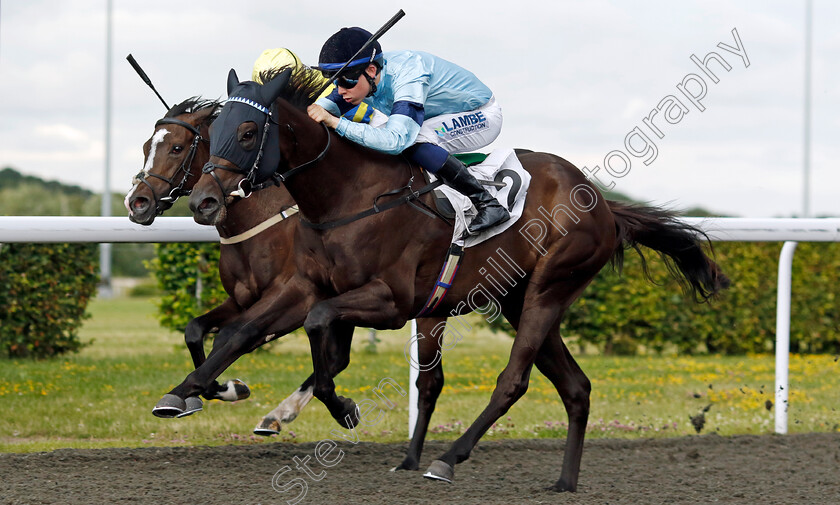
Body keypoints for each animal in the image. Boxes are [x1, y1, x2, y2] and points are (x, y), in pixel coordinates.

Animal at [126, 95, 446, 468]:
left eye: (176, 148)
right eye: (146, 146)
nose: (137, 202)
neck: (261, 219)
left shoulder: (294, 297)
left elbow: (238, 336)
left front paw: (213, 389)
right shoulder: (243, 298)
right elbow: (194, 329)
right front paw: (218, 390)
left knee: (337, 356)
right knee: (338, 356)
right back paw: (279, 414)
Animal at [190, 69, 728, 490]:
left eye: (246, 131)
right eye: (213, 129)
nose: (202, 202)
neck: (349, 195)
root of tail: (601, 202)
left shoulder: (390, 301)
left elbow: (319, 326)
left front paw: (342, 409)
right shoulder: (308, 288)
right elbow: (253, 331)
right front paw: (204, 390)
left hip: (548, 289)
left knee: (514, 380)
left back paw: (448, 459)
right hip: (519, 298)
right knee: (575, 387)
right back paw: (563, 482)